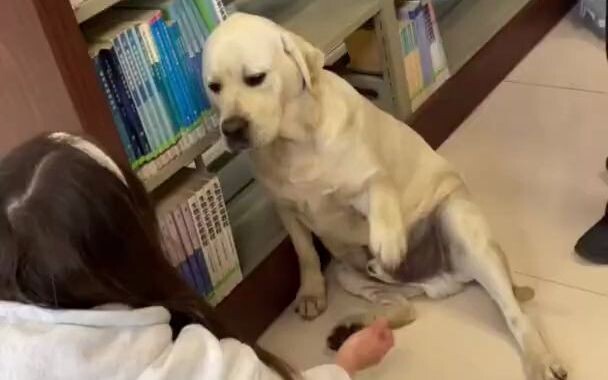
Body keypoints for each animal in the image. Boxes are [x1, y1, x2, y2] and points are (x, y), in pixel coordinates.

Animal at [205, 12, 568, 380]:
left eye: (255, 78)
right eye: (213, 87)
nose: (231, 129)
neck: (293, 141)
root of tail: (443, 282)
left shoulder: (368, 179)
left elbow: (381, 192)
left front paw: (389, 241)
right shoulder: (287, 210)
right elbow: (304, 252)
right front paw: (310, 293)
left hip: (460, 223)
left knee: (514, 312)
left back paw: (540, 359)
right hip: (349, 273)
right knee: (404, 308)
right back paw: (353, 327)